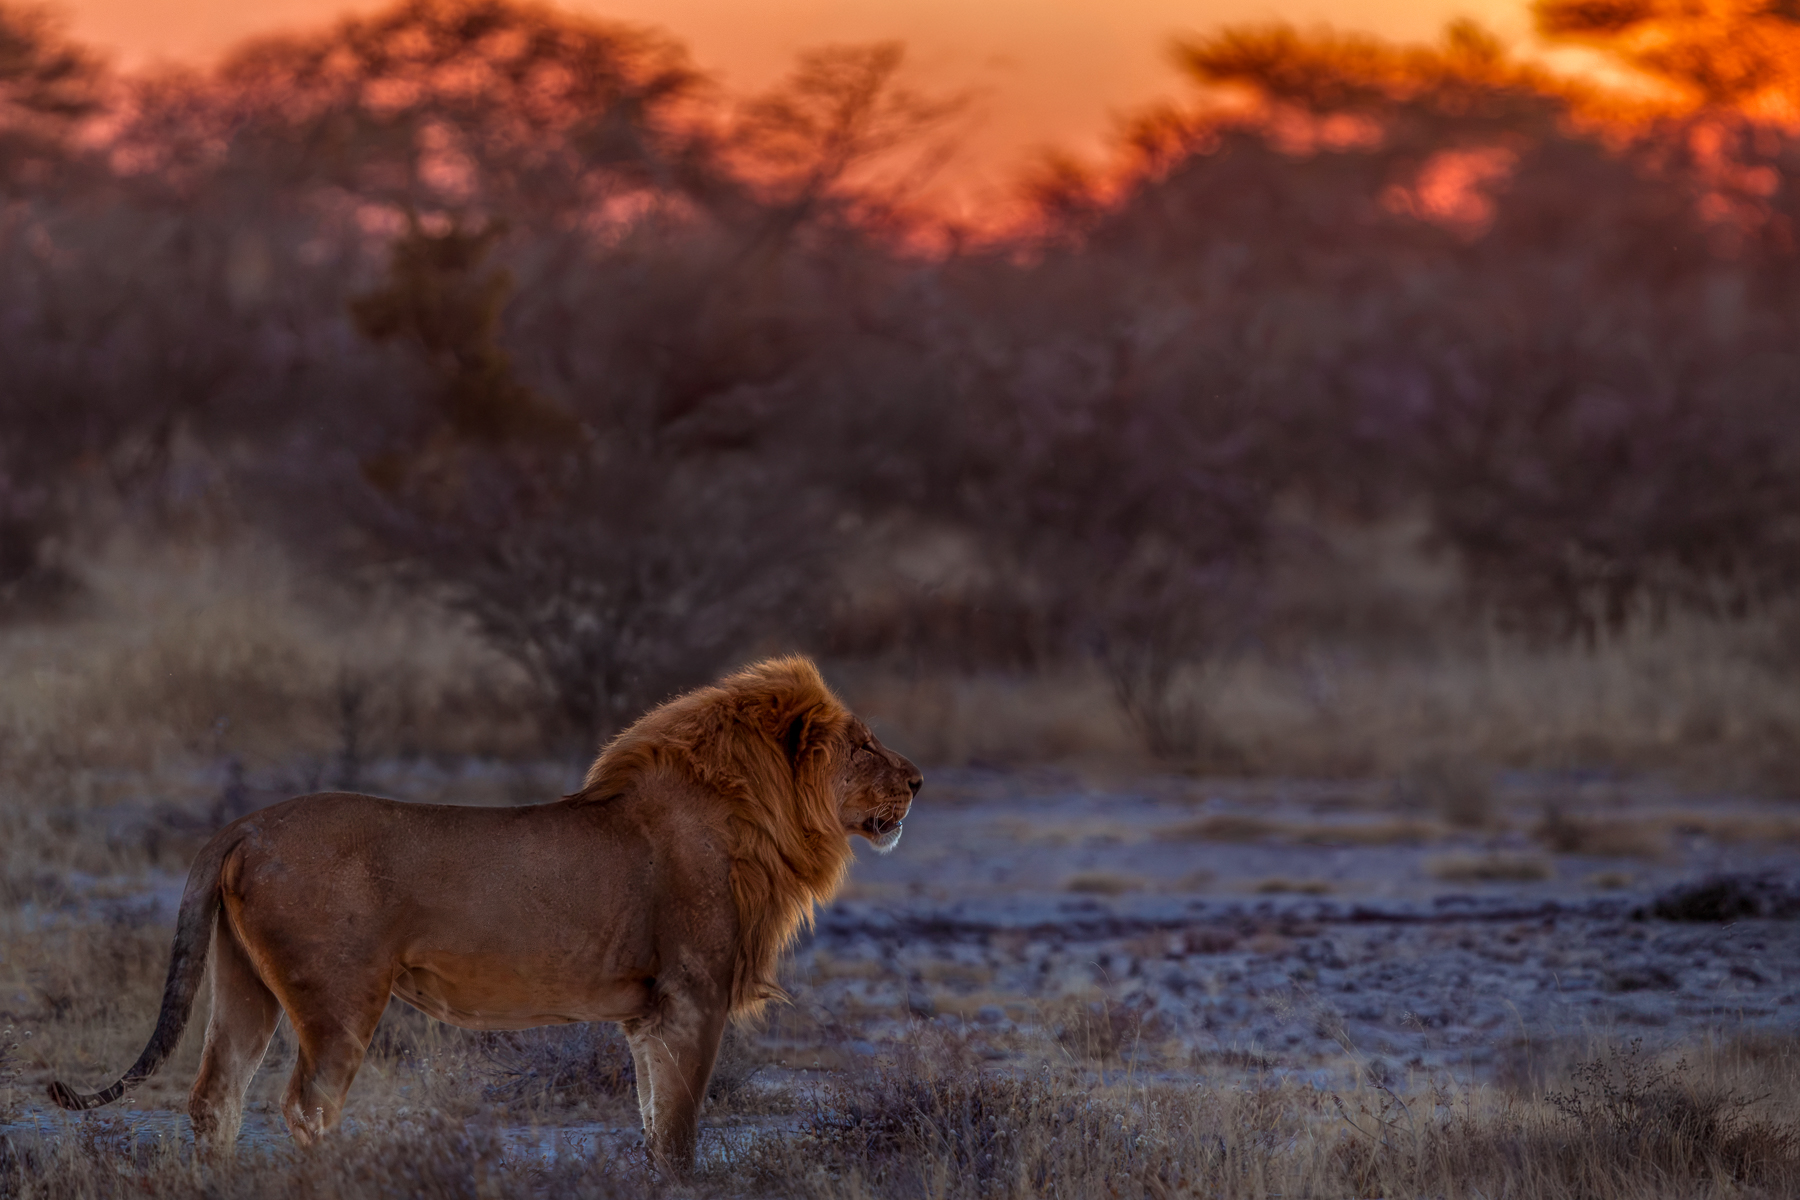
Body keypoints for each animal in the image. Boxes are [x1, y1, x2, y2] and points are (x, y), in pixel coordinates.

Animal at [48, 655, 920, 1173]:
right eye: (862, 745)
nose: (918, 779)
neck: (755, 819)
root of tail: (245, 823)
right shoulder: (689, 1000)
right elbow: (677, 1136)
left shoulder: (647, 1018)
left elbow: (650, 1123)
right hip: (339, 998)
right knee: (306, 1106)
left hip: (244, 984)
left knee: (215, 1100)